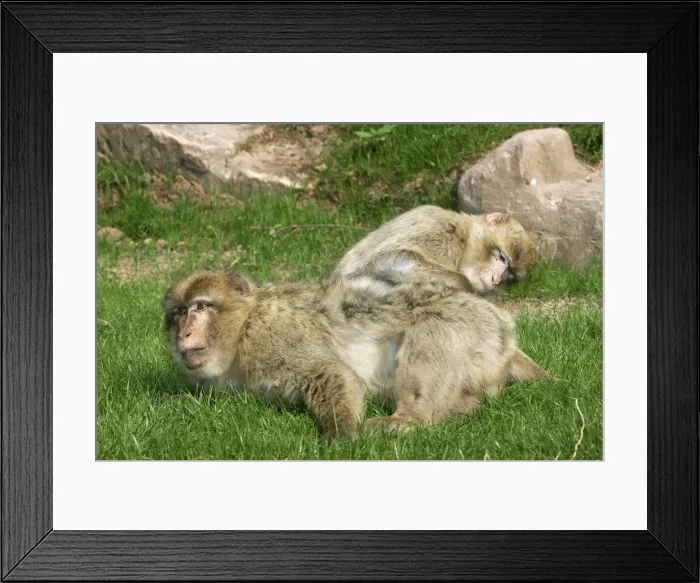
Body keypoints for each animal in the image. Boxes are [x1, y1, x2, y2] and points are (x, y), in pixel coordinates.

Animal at [162, 268, 553, 439]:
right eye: (179, 312)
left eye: (201, 306)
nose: (184, 331)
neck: (242, 329)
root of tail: (508, 336)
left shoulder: (274, 334)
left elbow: (331, 373)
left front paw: (343, 433)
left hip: (474, 327)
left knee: (432, 325)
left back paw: (412, 418)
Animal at [332, 205, 536, 296]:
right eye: (502, 258)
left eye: (509, 273)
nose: (497, 279)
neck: (463, 238)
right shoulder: (442, 230)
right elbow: (386, 258)